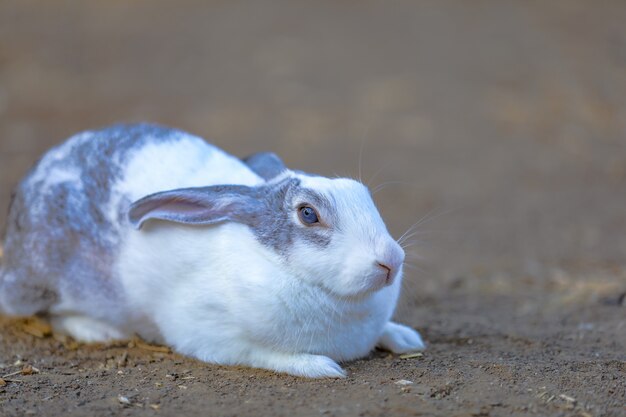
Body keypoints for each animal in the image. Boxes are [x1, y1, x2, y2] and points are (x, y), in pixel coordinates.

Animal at [0, 123, 424, 376]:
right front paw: (321, 367)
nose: (392, 261)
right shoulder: (213, 336)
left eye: (363, 194)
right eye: (308, 214)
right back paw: (96, 330)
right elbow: (266, 355)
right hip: (41, 282)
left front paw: (406, 339)